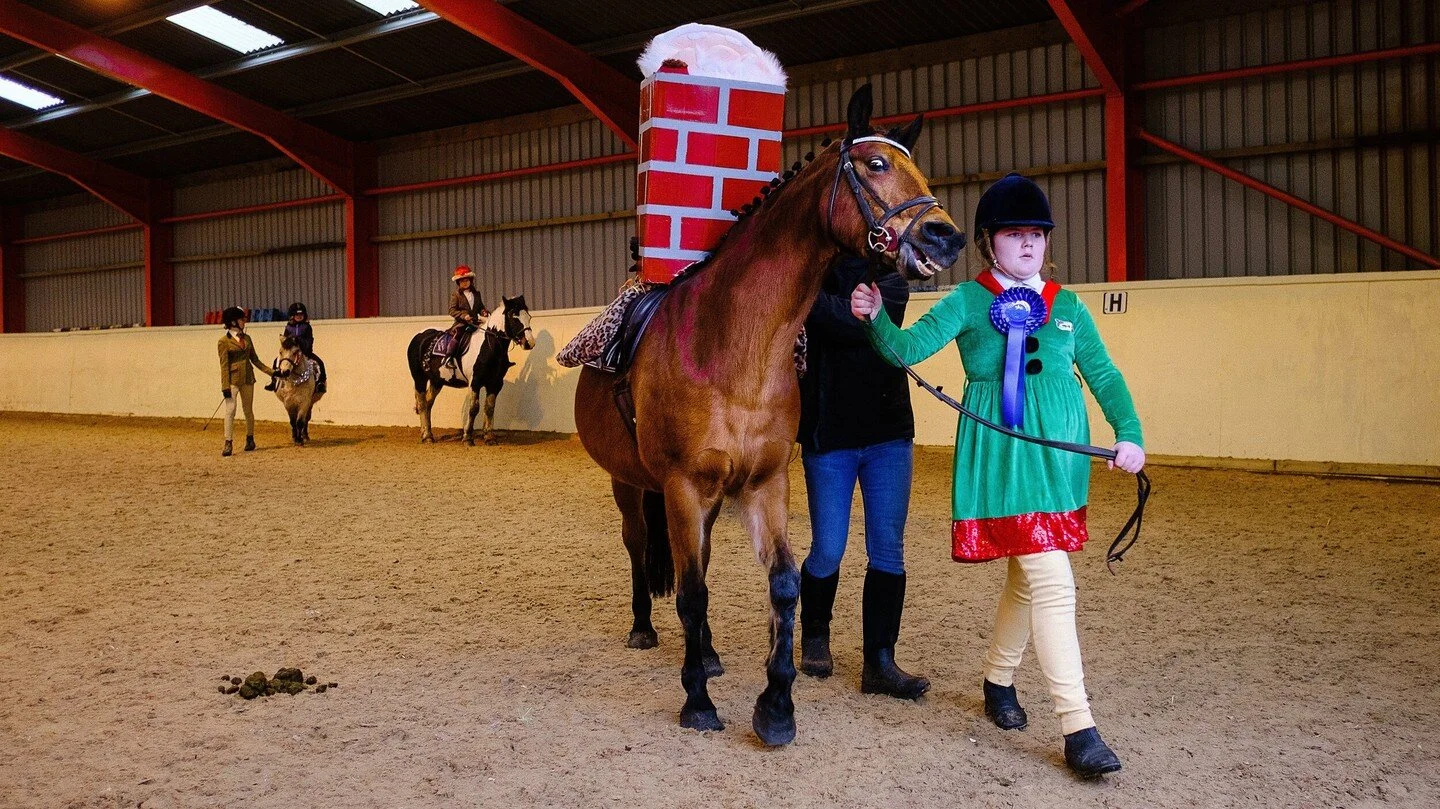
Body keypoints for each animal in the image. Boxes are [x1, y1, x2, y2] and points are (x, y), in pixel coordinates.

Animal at [406, 295, 537, 445]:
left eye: (528, 317)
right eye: (514, 317)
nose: (529, 343)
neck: (489, 346)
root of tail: (418, 337)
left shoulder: (495, 384)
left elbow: (489, 408)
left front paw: (489, 437)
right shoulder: (475, 382)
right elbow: (474, 408)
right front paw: (468, 437)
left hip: (437, 381)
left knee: (428, 403)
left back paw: (426, 433)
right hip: (419, 378)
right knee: (422, 404)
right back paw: (427, 436)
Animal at [573, 85, 966, 746]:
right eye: (876, 164)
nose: (946, 237)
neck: (731, 347)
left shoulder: (765, 483)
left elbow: (782, 585)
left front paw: (777, 704)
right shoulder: (681, 485)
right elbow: (691, 594)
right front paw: (698, 704)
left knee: (698, 561)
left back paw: (706, 654)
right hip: (630, 483)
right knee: (640, 547)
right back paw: (643, 628)